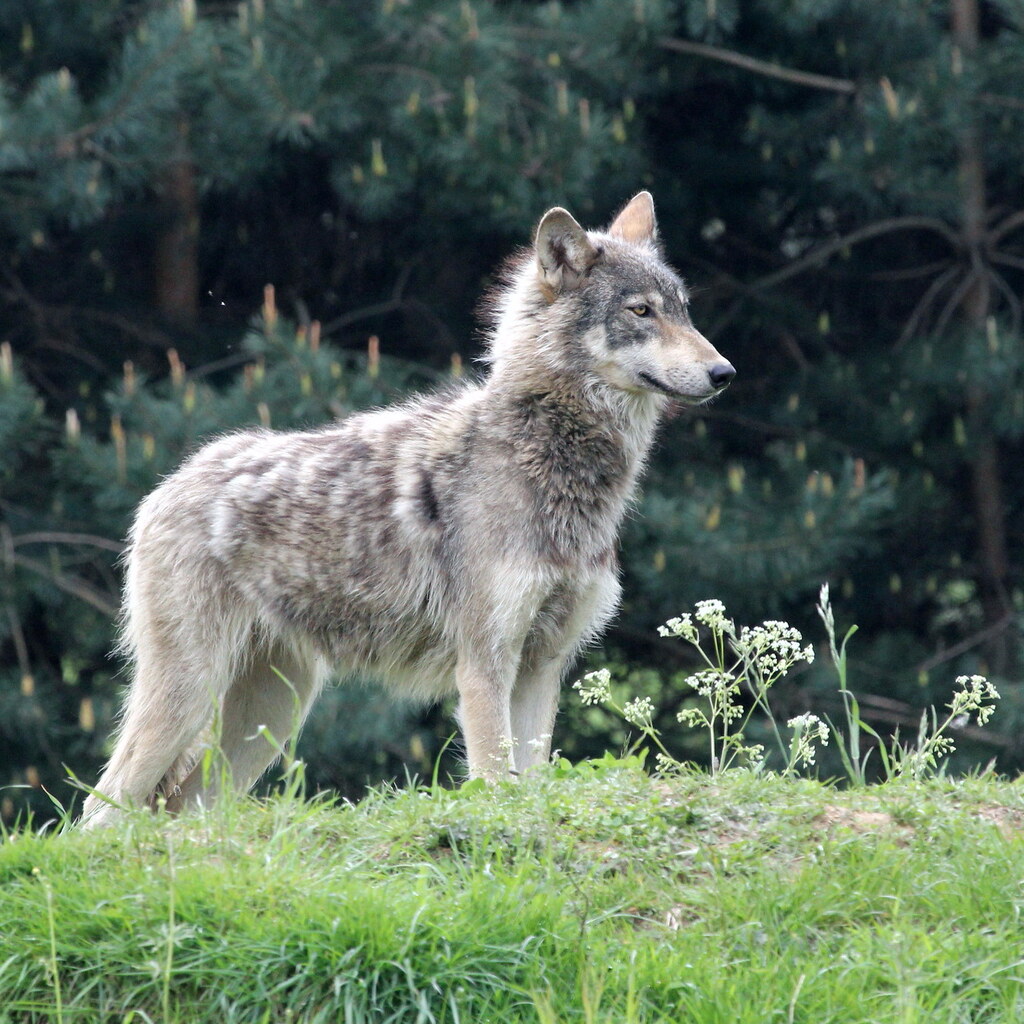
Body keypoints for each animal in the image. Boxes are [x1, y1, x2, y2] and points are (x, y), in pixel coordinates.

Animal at [79, 191, 734, 827]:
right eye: (641, 312)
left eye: (683, 310)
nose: (724, 372)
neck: (550, 461)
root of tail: (167, 486)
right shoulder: (485, 665)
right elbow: (496, 782)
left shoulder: (542, 668)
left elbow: (532, 782)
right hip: (190, 696)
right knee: (100, 806)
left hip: (270, 715)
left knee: (180, 809)